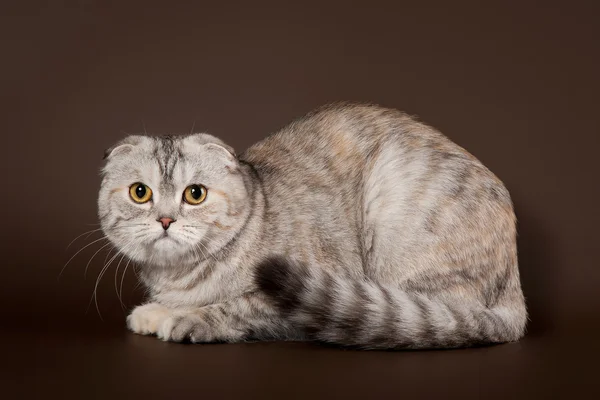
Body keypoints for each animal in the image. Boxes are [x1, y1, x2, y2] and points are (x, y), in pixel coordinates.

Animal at [98, 104, 524, 350]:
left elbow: (235, 308)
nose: (165, 219)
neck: (180, 278)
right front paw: (155, 311)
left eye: (195, 194)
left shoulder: (299, 297)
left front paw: (184, 318)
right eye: (140, 193)